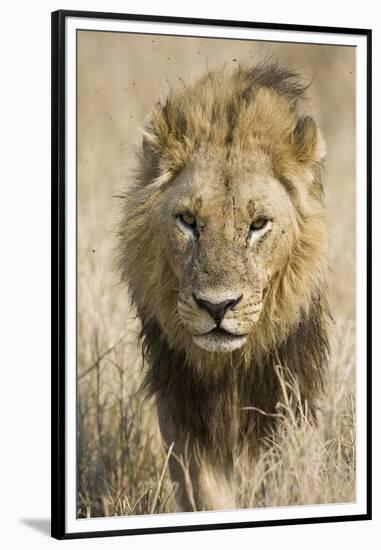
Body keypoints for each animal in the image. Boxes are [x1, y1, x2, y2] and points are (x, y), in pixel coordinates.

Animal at [119, 62, 330, 516]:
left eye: (257, 224)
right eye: (188, 220)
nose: (217, 307)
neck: (229, 367)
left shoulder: (290, 401)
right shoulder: (184, 416)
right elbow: (208, 497)